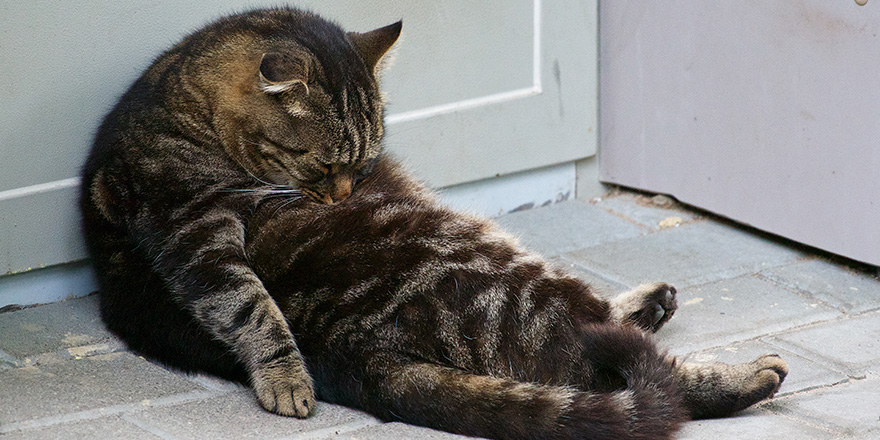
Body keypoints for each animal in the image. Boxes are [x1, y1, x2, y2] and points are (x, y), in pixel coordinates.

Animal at [81, 7, 784, 440]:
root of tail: (358, 353)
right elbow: (248, 305)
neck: (174, 101)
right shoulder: (192, 229)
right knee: (614, 363)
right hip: (490, 264)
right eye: (325, 163)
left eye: (365, 159)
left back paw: (650, 305)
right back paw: (739, 373)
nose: (345, 194)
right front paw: (282, 374)